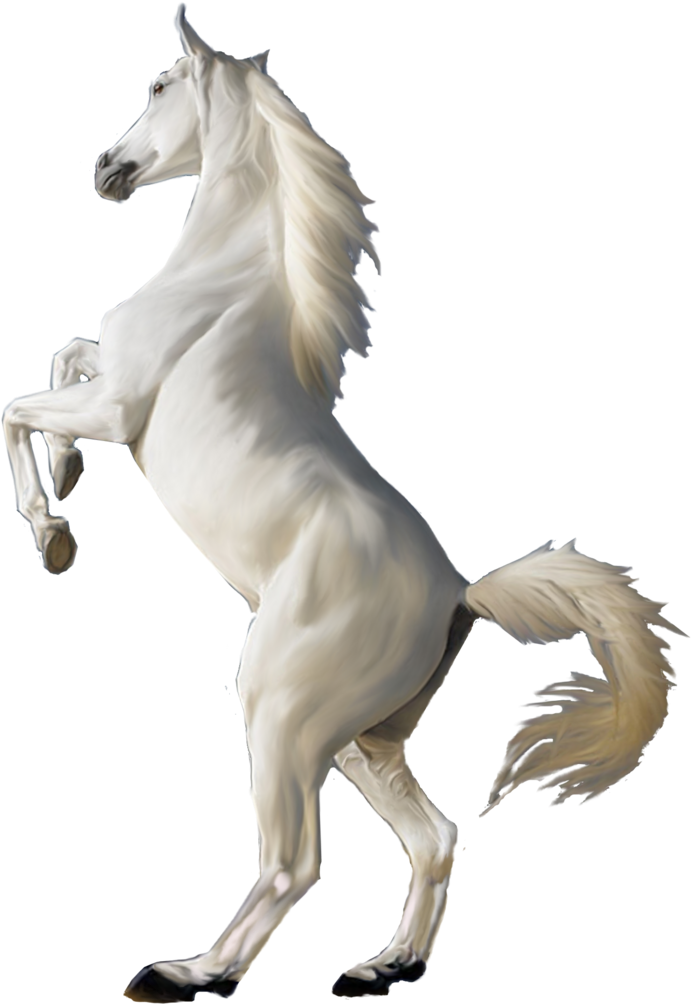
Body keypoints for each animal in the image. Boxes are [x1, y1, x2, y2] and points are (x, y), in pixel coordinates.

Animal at [3, 5, 687, 1001]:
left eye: (160, 85)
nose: (105, 171)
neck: (222, 285)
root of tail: (460, 595)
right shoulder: (107, 385)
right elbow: (62, 356)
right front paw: (67, 493)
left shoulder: (119, 409)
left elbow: (19, 402)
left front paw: (53, 533)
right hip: (363, 741)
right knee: (433, 838)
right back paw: (384, 968)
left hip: (280, 713)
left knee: (296, 862)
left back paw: (189, 974)